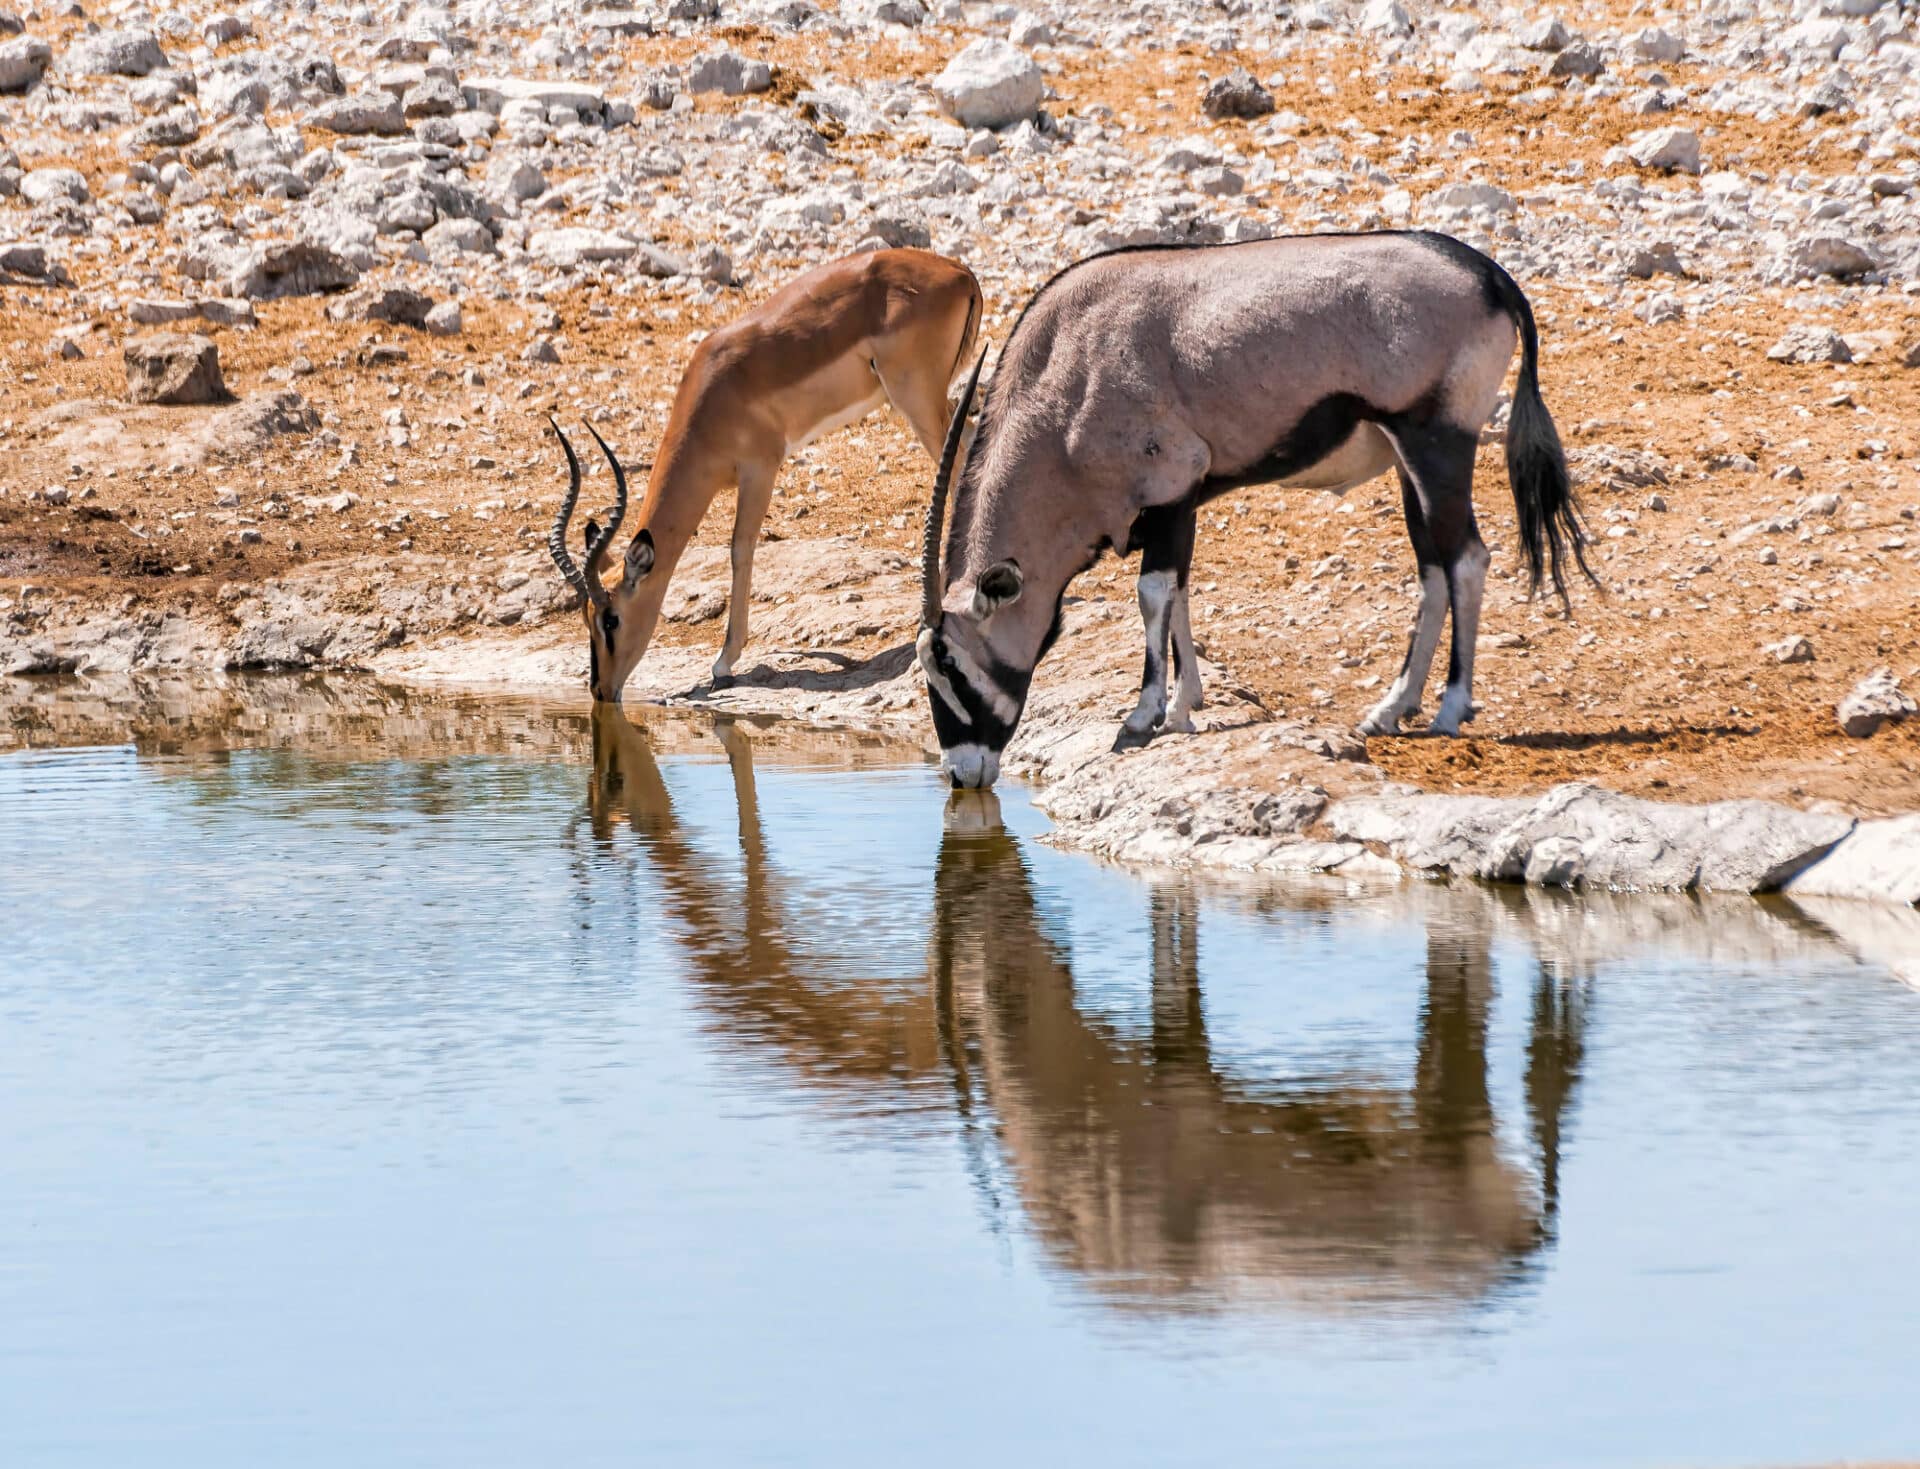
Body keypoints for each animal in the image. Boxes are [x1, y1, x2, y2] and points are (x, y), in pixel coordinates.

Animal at [549, 247, 983, 706]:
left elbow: (740, 548)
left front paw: (724, 662)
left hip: (916, 402)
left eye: (611, 619)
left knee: (956, 465)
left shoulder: (761, 468)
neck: (713, 394)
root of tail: (960, 272)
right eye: (585, 616)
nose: (600, 690)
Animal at [913, 232, 1589, 791]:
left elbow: (1152, 594)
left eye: (949, 663)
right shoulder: (1179, 505)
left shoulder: (1170, 490)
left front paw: (1144, 716)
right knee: (1433, 572)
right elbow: (1180, 594)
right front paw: (1185, 706)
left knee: (1467, 559)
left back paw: (1451, 707)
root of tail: (1489, 275)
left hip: (1436, 442)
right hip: (1409, 464)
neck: (1063, 380)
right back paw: (1391, 710)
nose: (962, 773)